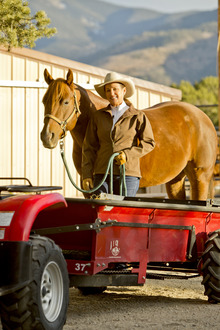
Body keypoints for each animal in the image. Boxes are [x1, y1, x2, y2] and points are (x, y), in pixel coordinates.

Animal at [40, 68, 218, 200]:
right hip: (175, 179)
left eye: (65, 102)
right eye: (43, 101)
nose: (47, 136)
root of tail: (204, 118)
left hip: (200, 177)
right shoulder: (89, 186)